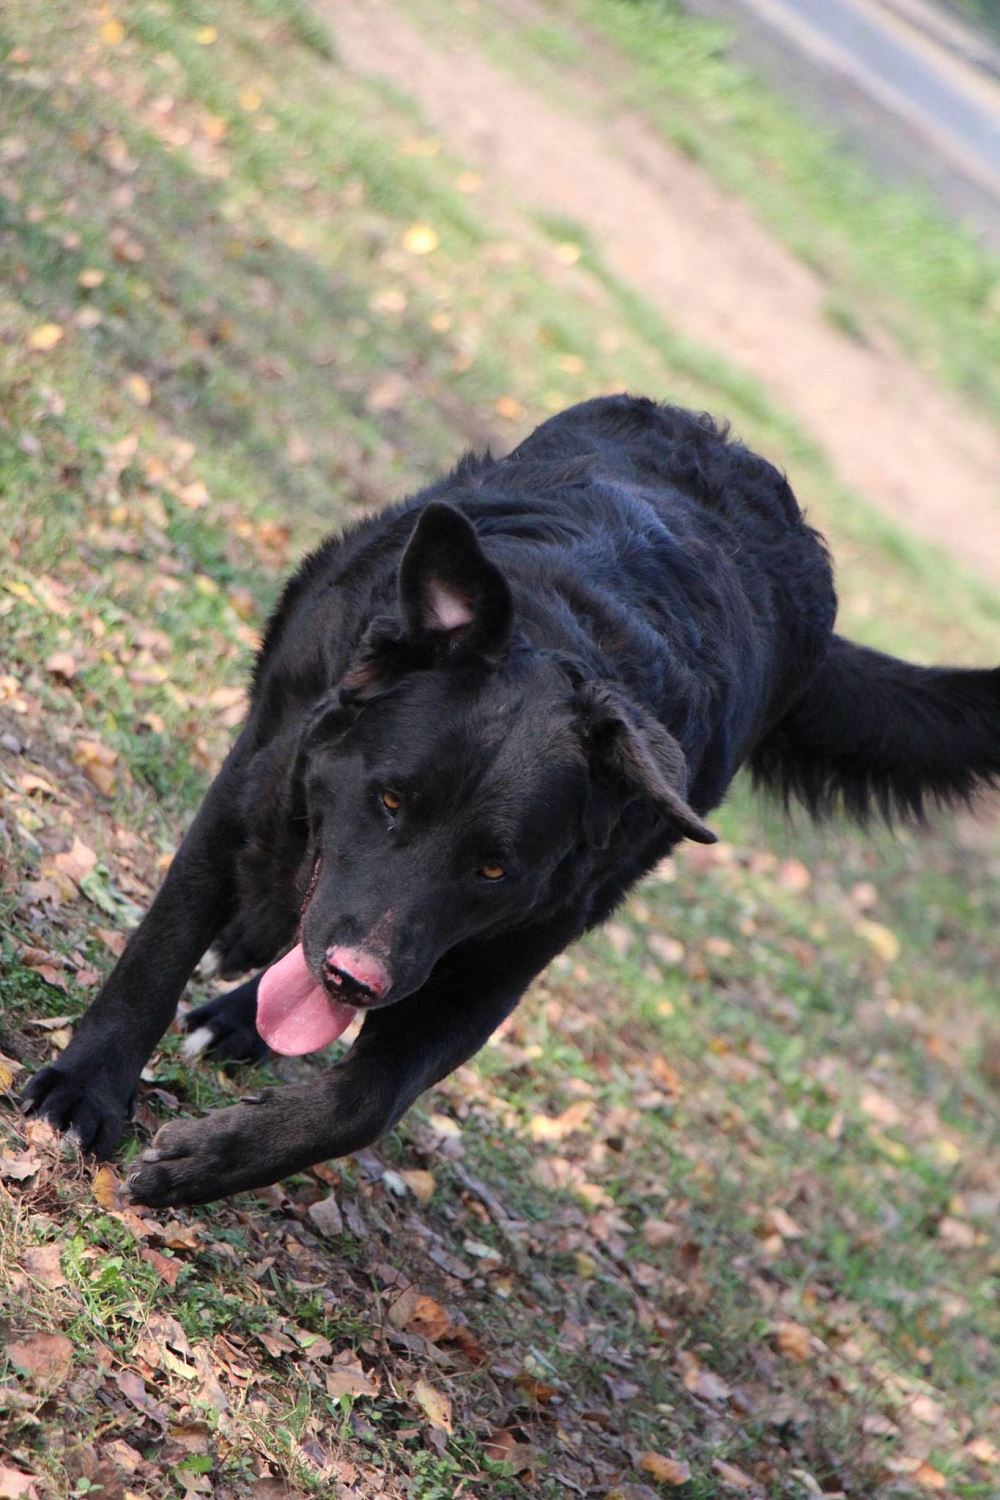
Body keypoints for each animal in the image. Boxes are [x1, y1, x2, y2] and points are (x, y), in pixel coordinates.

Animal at [21, 396, 1000, 1208]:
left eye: (493, 869)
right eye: (388, 800)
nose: (355, 979)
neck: (579, 632)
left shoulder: (505, 956)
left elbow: (363, 1102)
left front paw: (210, 1161)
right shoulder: (256, 786)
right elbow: (160, 949)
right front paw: (88, 1089)